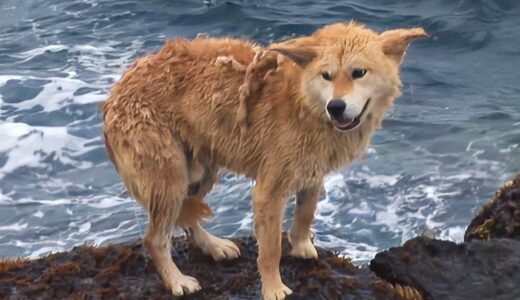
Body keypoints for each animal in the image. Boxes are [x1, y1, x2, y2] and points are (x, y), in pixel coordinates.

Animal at [100, 19, 426, 298]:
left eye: (359, 72)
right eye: (327, 75)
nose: (336, 106)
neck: (306, 103)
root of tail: (115, 91)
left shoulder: (313, 172)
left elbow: (306, 212)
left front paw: (301, 245)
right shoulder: (269, 191)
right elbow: (270, 250)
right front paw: (273, 288)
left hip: (201, 171)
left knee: (187, 216)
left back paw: (214, 246)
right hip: (169, 175)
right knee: (155, 238)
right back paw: (177, 280)